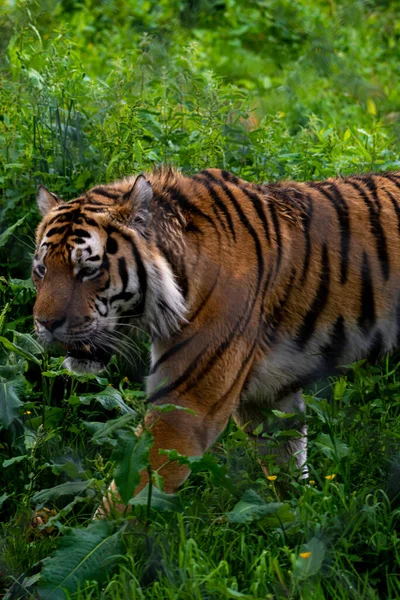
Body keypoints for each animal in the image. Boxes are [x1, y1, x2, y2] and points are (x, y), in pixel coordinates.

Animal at [32, 168, 400, 510]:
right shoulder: (269, 398)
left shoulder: (186, 405)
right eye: (41, 270)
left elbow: (130, 496)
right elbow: (285, 466)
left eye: (88, 270)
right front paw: (297, 517)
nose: (44, 323)